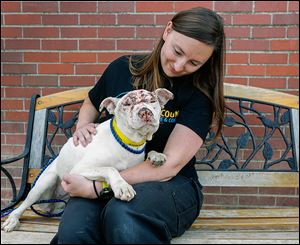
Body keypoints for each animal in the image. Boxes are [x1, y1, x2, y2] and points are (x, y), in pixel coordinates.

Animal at [1, 88, 173, 232]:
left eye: (152, 101)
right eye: (127, 104)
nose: (145, 112)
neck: (129, 142)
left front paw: (156, 155)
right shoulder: (80, 169)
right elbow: (110, 168)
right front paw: (122, 186)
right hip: (43, 184)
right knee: (22, 205)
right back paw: (12, 219)